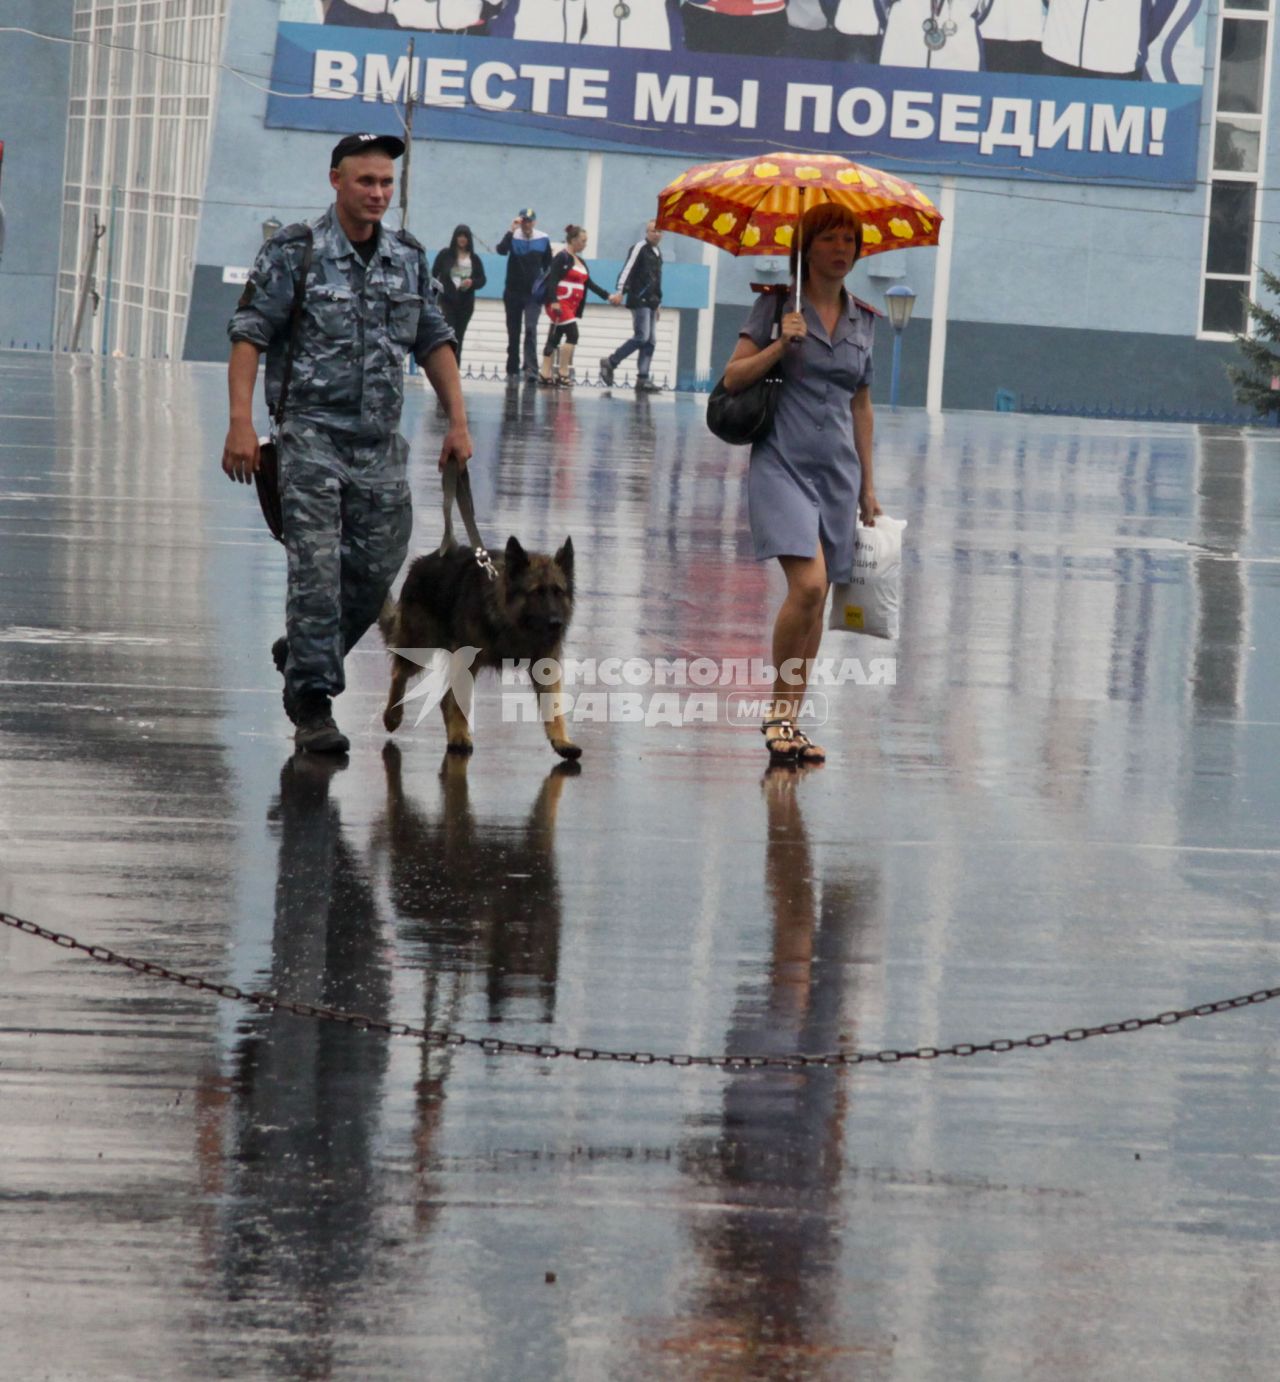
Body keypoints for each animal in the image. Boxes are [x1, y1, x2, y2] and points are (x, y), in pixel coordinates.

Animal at [381, 536, 580, 757]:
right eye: (536, 592)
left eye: (558, 592)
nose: (556, 623)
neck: (510, 620)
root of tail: (421, 561)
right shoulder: (467, 663)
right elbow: (460, 702)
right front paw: (459, 736)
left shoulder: (545, 664)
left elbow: (554, 705)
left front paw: (561, 740)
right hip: (420, 647)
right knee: (399, 674)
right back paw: (393, 715)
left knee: (445, 699)